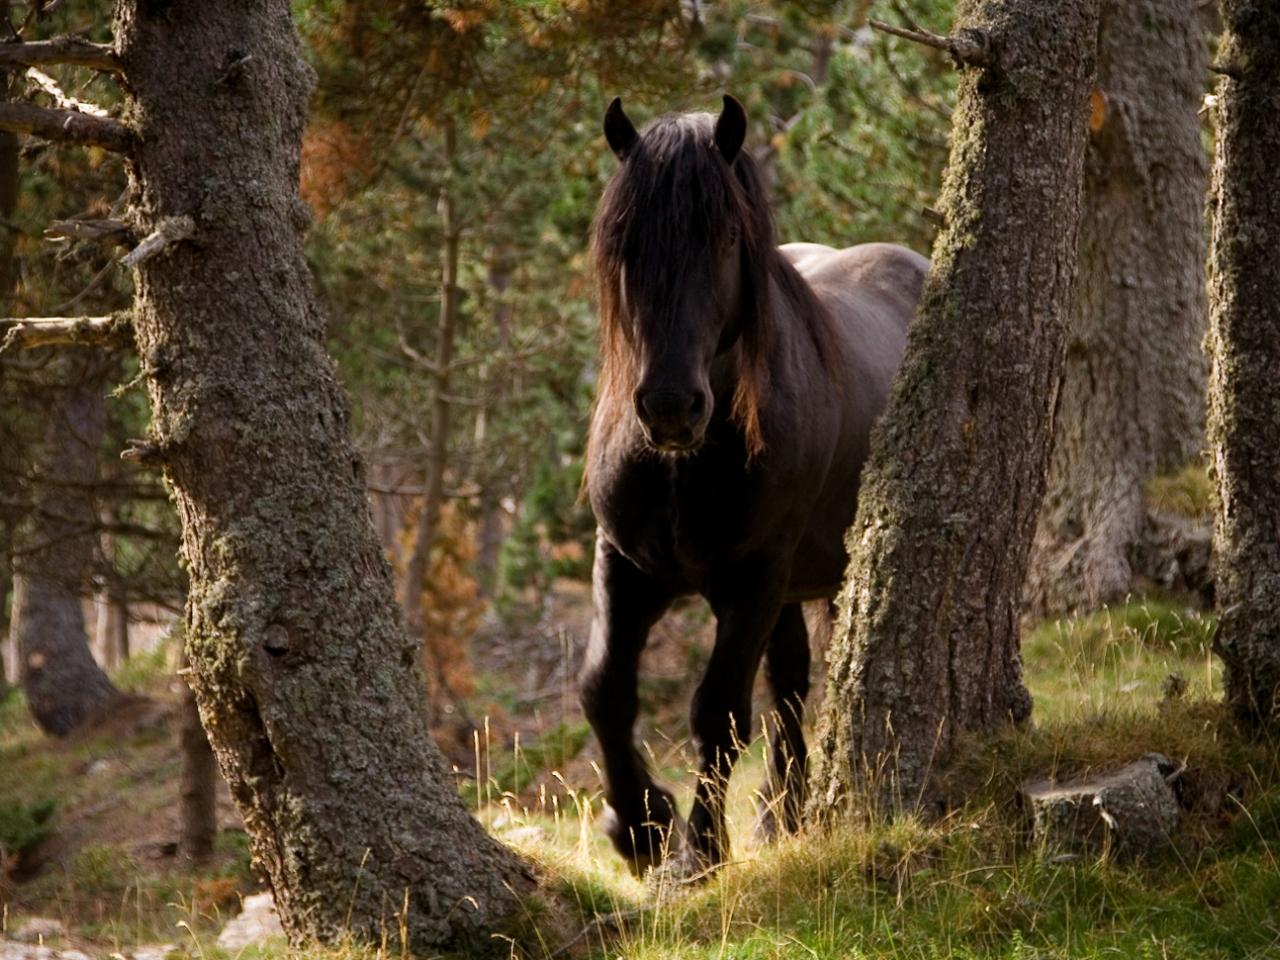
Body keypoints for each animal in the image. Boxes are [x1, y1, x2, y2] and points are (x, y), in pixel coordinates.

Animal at [583, 96, 931, 880]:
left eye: (723, 238)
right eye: (623, 243)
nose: (670, 406)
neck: (683, 466)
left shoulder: (754, 578)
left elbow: (717, 712)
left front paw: (698, 851)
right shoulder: (624, 565)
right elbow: (604, 690)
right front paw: (639, 828)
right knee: (792, 684)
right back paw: (780, 815)